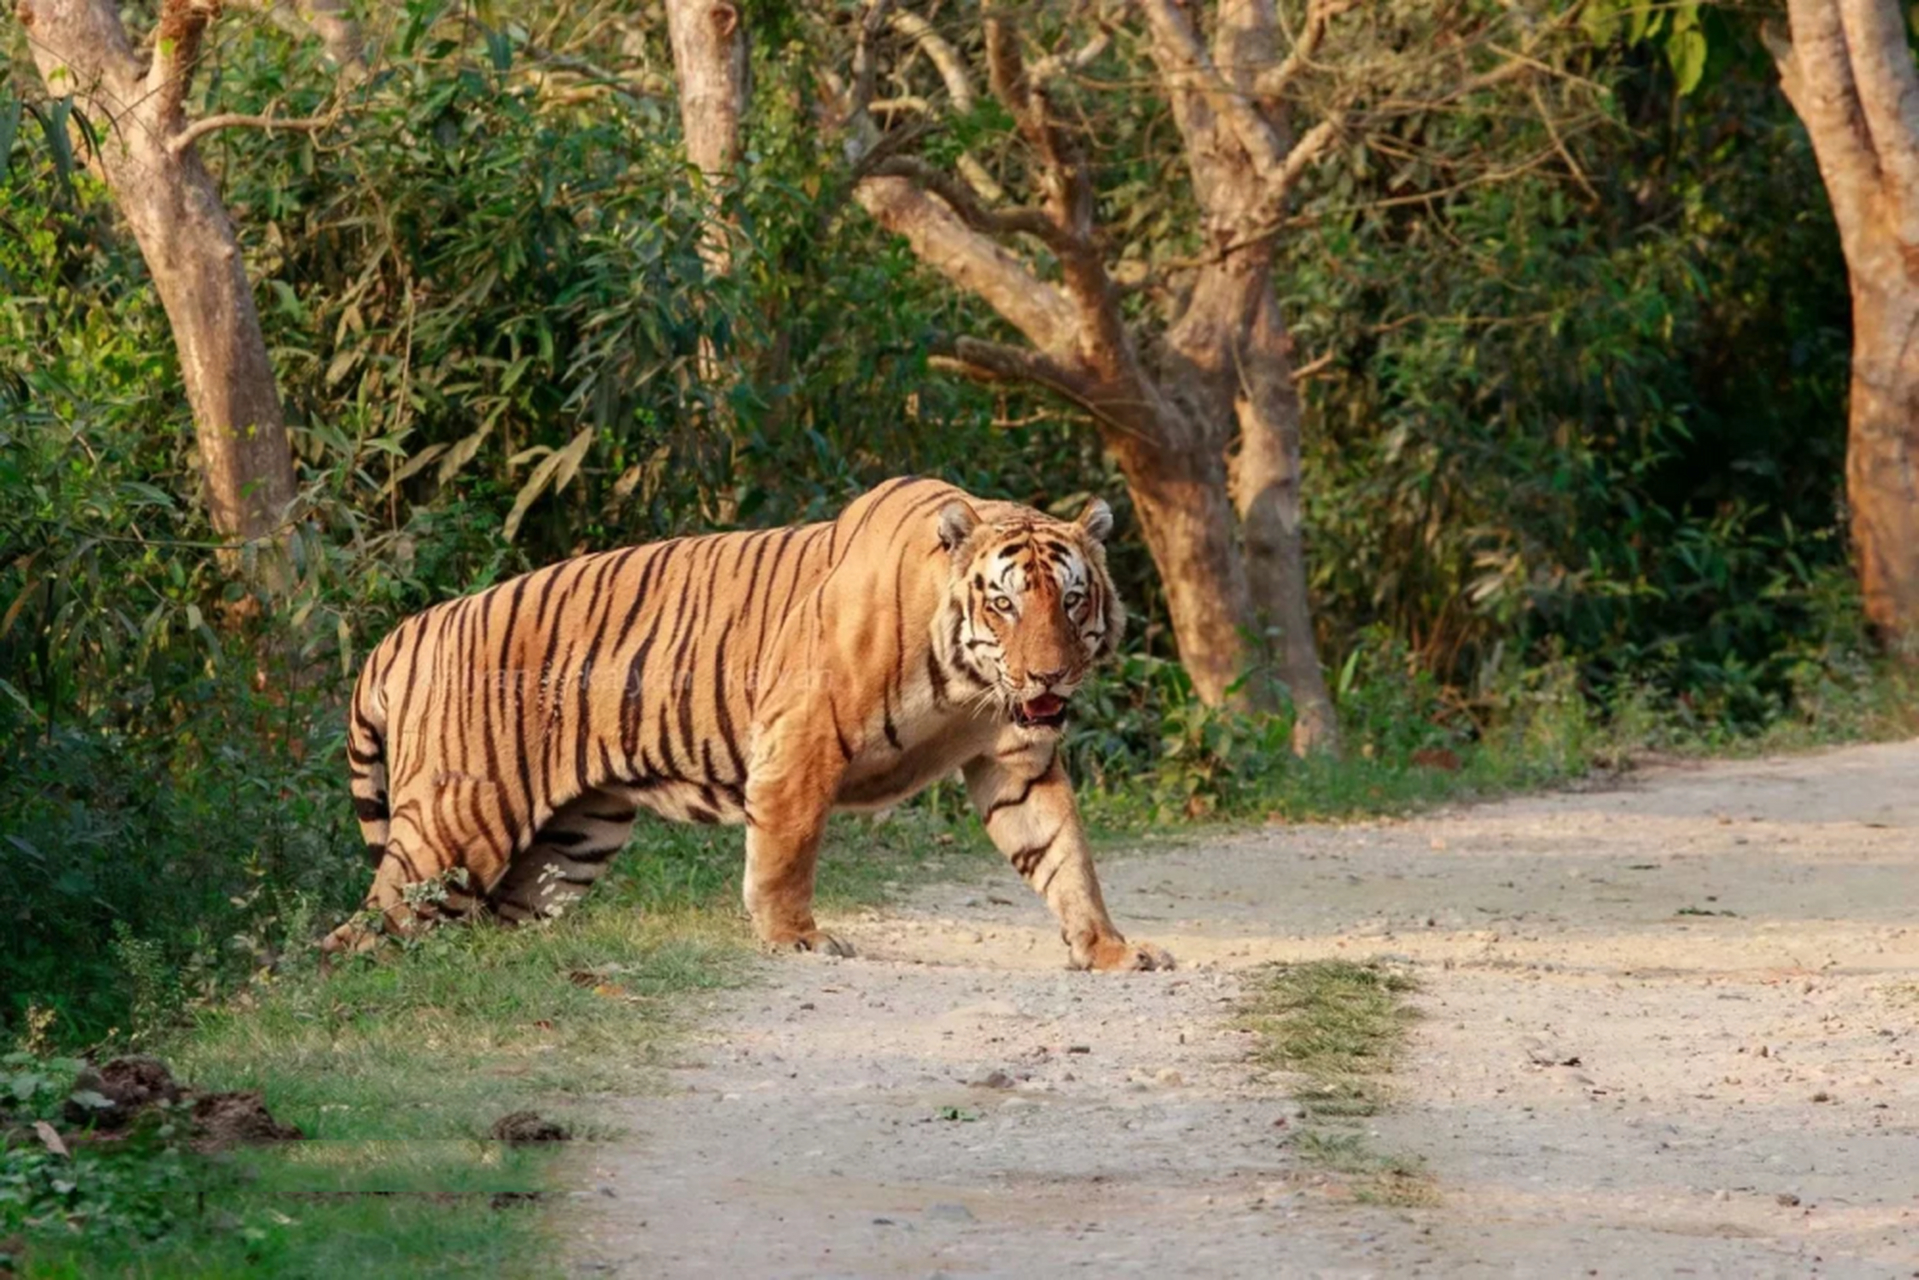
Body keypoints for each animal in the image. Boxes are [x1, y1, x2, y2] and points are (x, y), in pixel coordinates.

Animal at [328, 477, 1166, 971]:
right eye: (1003, 603)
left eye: (1071, 600)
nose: (1049, 675)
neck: (968, 685)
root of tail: (412, 628)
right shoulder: (803, 735)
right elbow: (786, 849)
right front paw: (795, 936)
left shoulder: (1016, 758)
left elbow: (1063, 854)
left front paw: (1108, 948)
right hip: (455, 826)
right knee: (368, 923)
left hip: (569, 844)